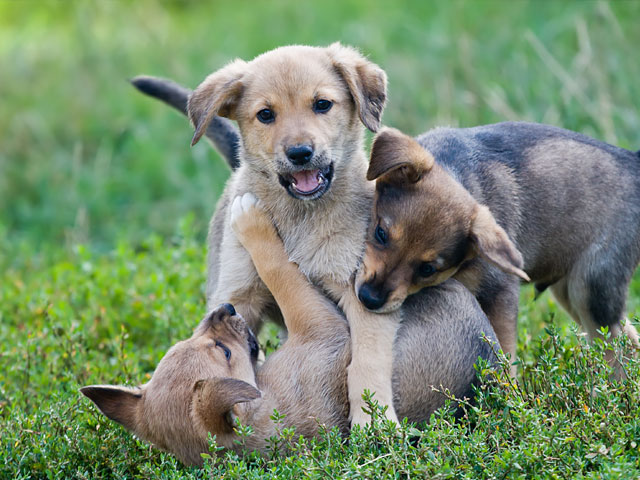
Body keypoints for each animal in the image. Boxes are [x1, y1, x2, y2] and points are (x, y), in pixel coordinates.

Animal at [81, 193, 500, 466]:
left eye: (188, 341)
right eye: (225, 352)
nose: (225, 309)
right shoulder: (320, 327)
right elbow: (280, 271)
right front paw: (250, 221)